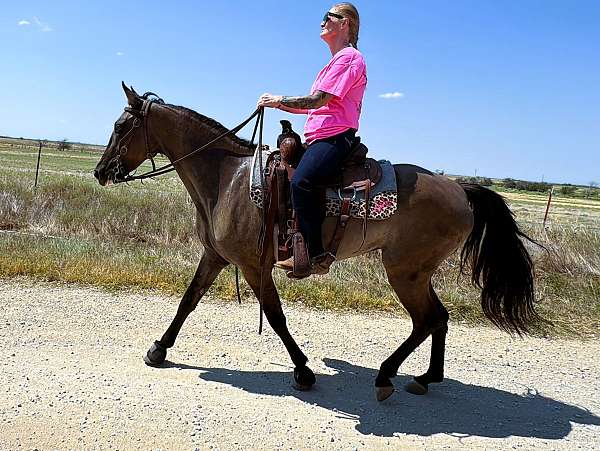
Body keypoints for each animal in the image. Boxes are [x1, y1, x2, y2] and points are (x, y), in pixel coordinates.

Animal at [95, 84, 540, 402]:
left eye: (119, 127)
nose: (101, 171)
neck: (226, 178)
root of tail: (461, 189)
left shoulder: (255, 266)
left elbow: (276, 317)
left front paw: (304, 371)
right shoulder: (216, 257)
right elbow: (188, 301)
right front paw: (159, 349)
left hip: (405, 272)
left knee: (426, 320)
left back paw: (386, 376)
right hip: (417, 271)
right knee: (440, 318)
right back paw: (426, 378)